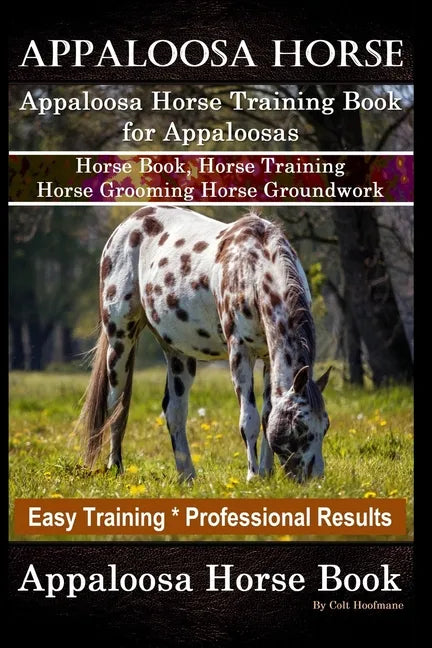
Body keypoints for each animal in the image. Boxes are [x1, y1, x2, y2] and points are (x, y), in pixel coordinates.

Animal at [80, 205, 331, 483]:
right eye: (300, 426)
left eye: (325, 426)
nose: (315, 479)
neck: (253, 269)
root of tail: (126, 225)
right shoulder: (240, 353)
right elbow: (249, 419)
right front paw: (253, 476)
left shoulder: (268, 356)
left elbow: (268, 415)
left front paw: (266, 473)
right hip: (120, 339)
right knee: (116, 406)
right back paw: (116, 467)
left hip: (178, 353)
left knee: (174, 412)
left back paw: (187, 475)